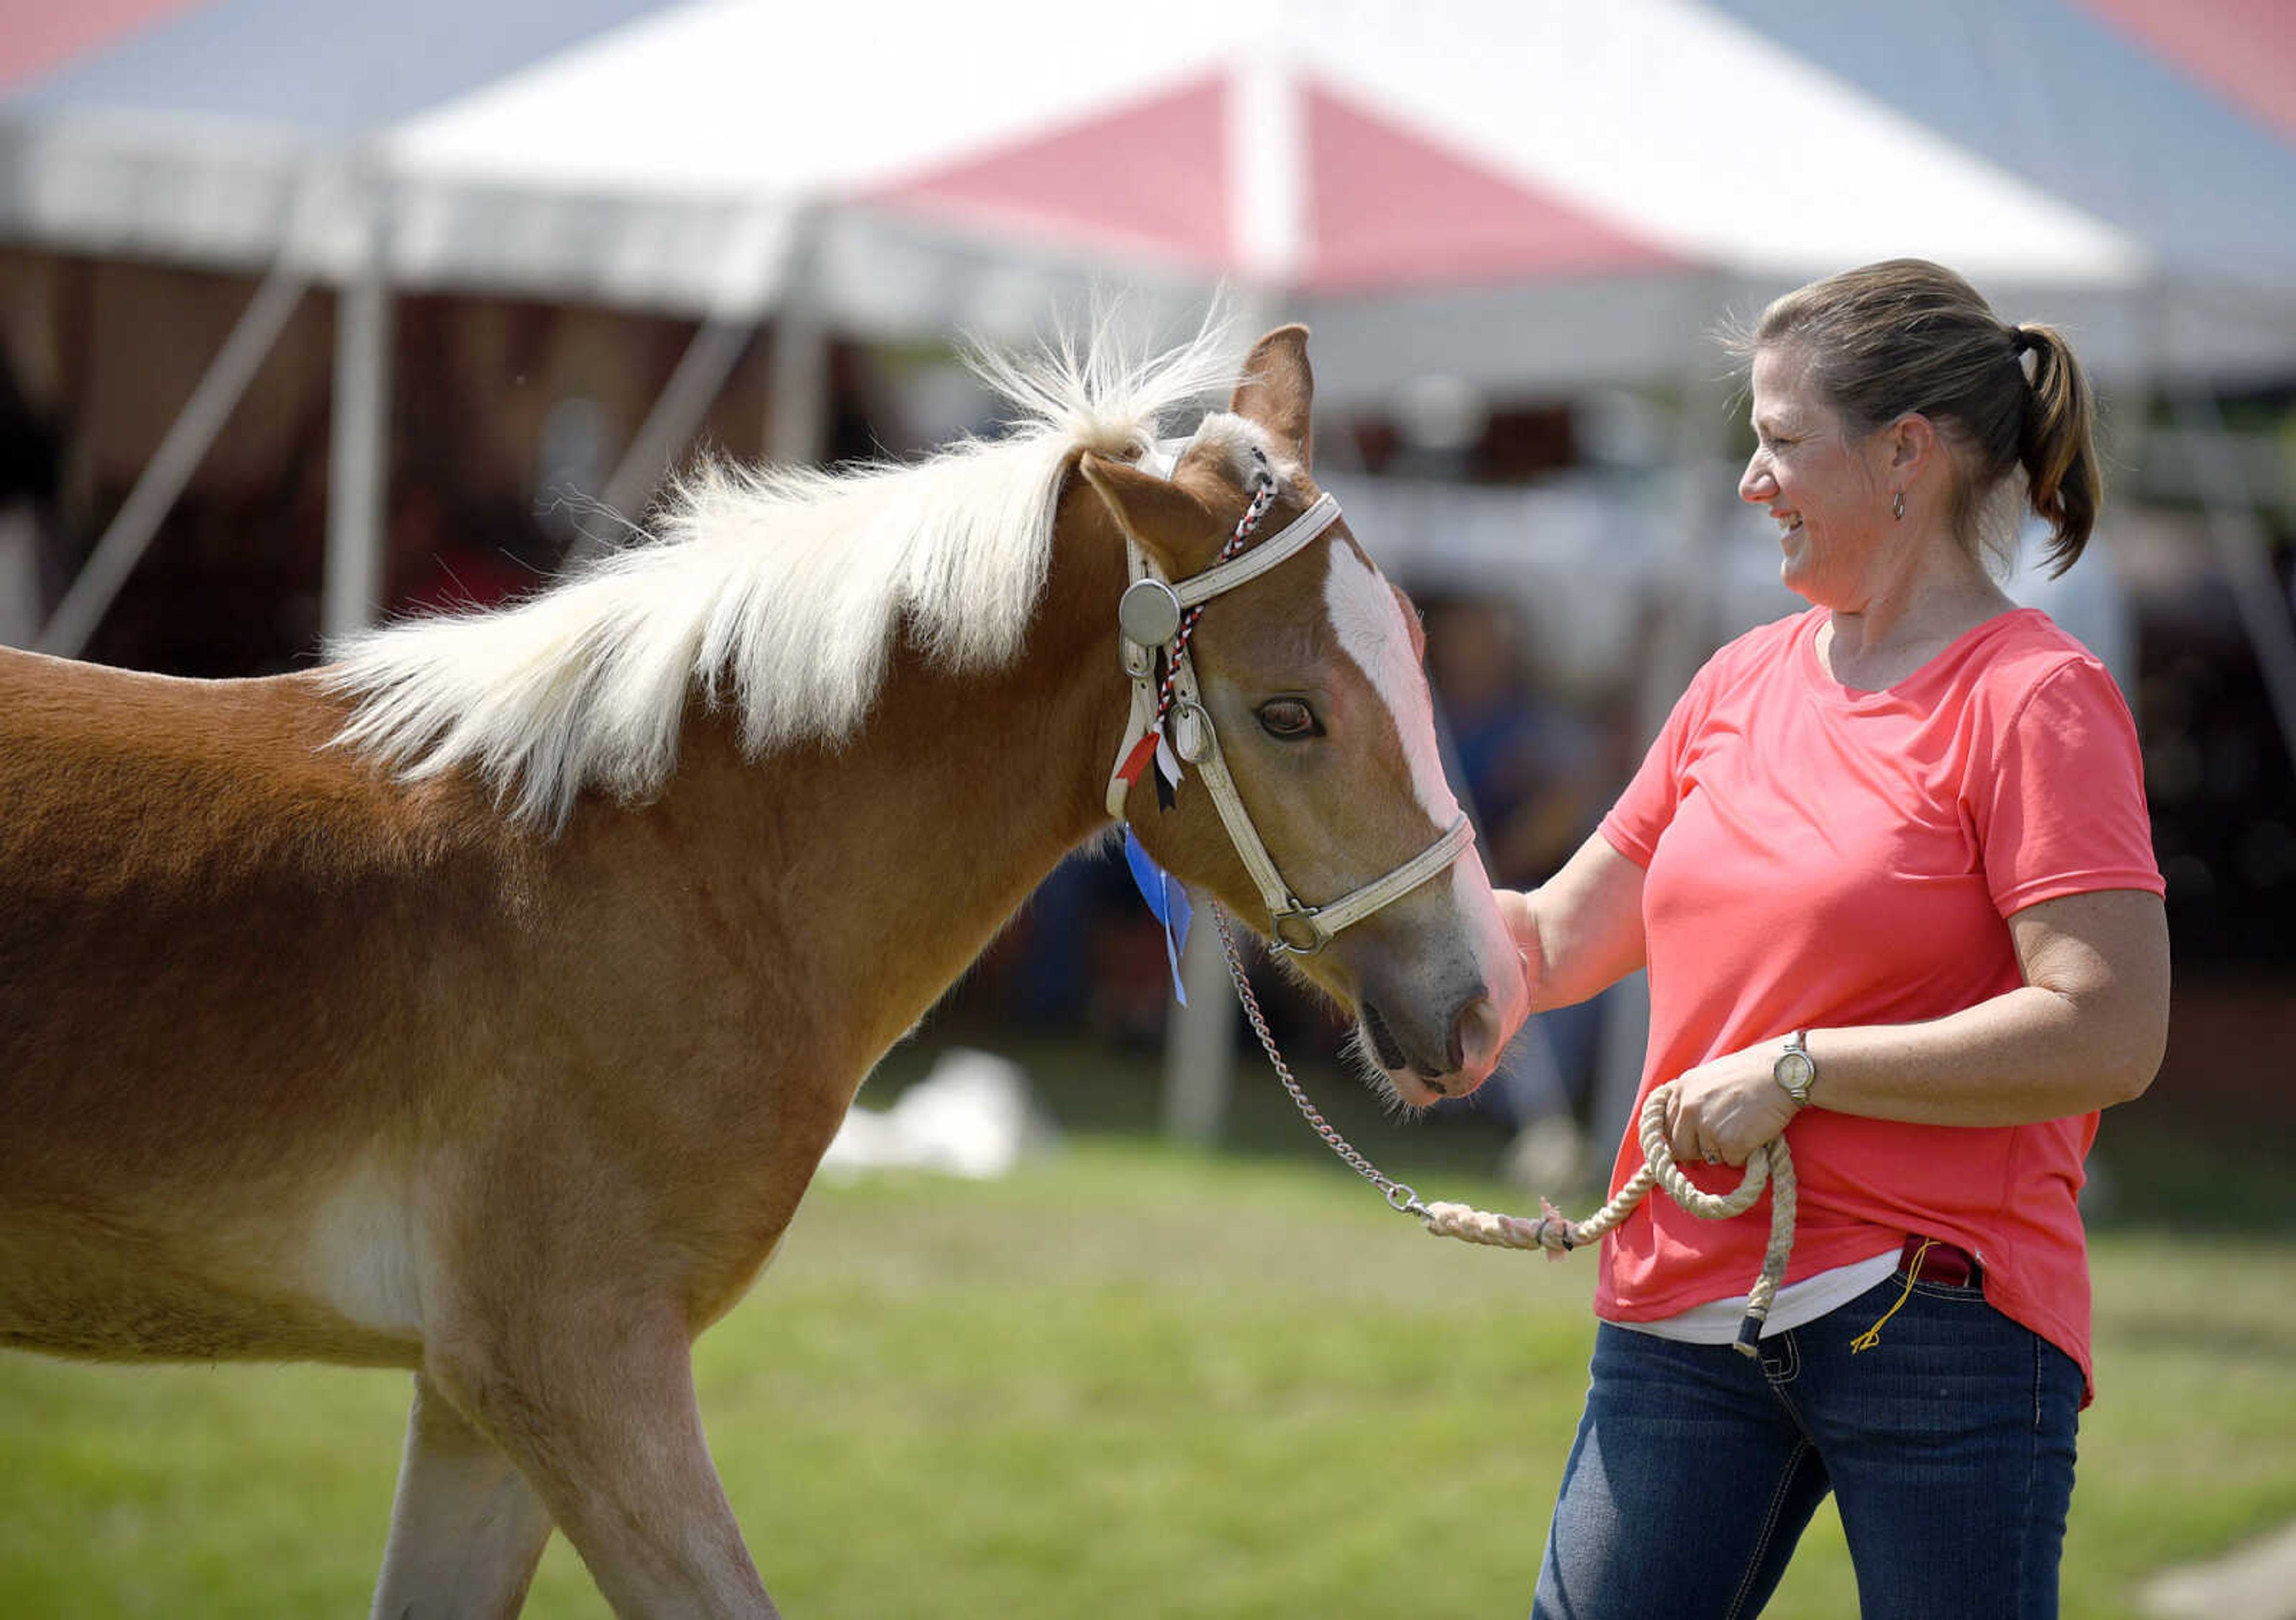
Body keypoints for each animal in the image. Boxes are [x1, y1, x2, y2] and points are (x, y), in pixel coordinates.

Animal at [9, 319, 1534, 1615]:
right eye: (1288, 714)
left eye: (1413, 651)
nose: (1482, 998)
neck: (648, 871)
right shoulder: (572, 1371)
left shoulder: (472, 1406)